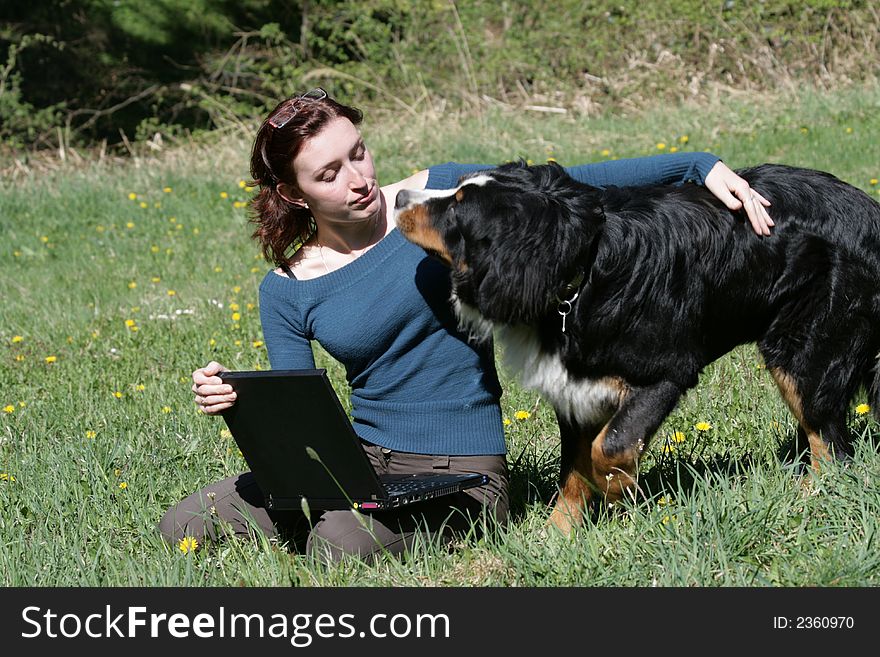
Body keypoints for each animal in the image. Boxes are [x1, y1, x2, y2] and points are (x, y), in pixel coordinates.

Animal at [396, 163, 880, 532]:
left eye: (457, 208)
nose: (400, 195)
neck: (580, 277)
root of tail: (869, 210)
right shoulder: (575, 391)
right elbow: (574, 471)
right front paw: (557, 536)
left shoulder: (665, 373)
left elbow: (608, 448)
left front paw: (618, 496)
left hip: (803, 351)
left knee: (830, 443)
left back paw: (808, 501)